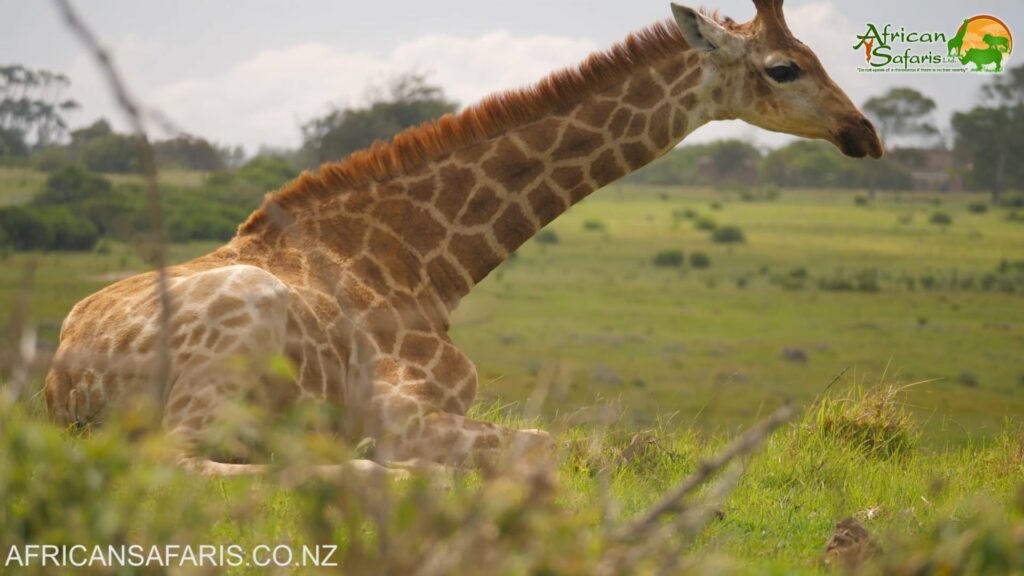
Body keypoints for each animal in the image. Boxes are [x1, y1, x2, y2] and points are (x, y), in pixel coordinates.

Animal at [44, 0, 882, 475]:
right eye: (783, 67)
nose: (865, 132)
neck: (425, 259)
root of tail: (58, 387)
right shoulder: (398, 410)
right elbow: (554, 447)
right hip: (231, 343)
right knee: (186, 465)